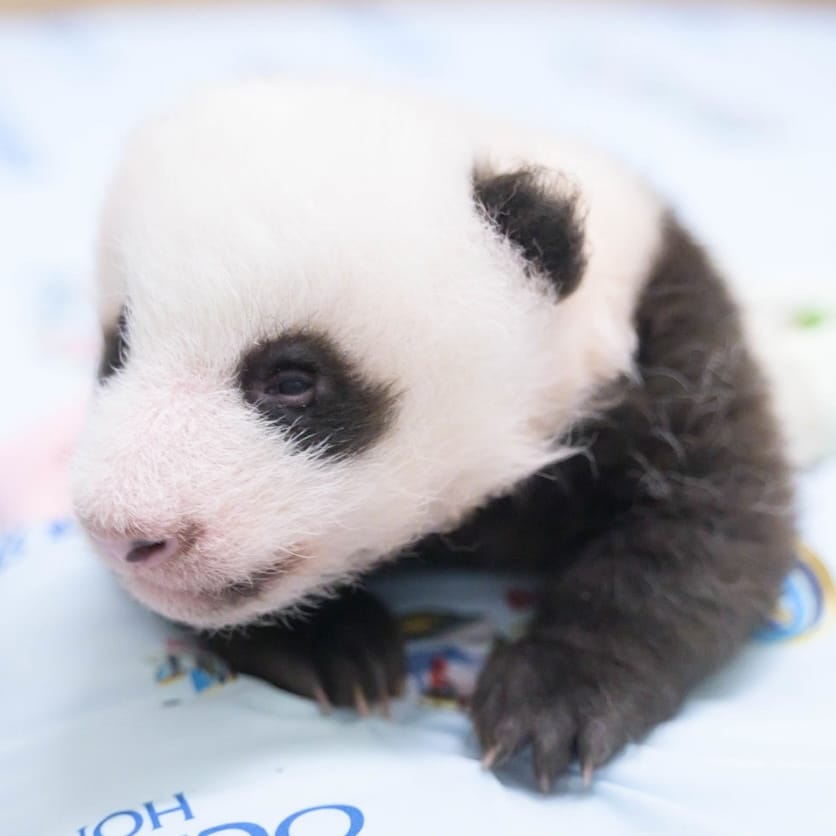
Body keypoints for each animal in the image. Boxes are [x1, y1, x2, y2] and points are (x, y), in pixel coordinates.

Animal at [71, 79, 794, 791]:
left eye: (292, 379)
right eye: (119, 348)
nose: (124, 535)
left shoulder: (675, 354)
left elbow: (705, 535)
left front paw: (554, 699)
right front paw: (337, 647)